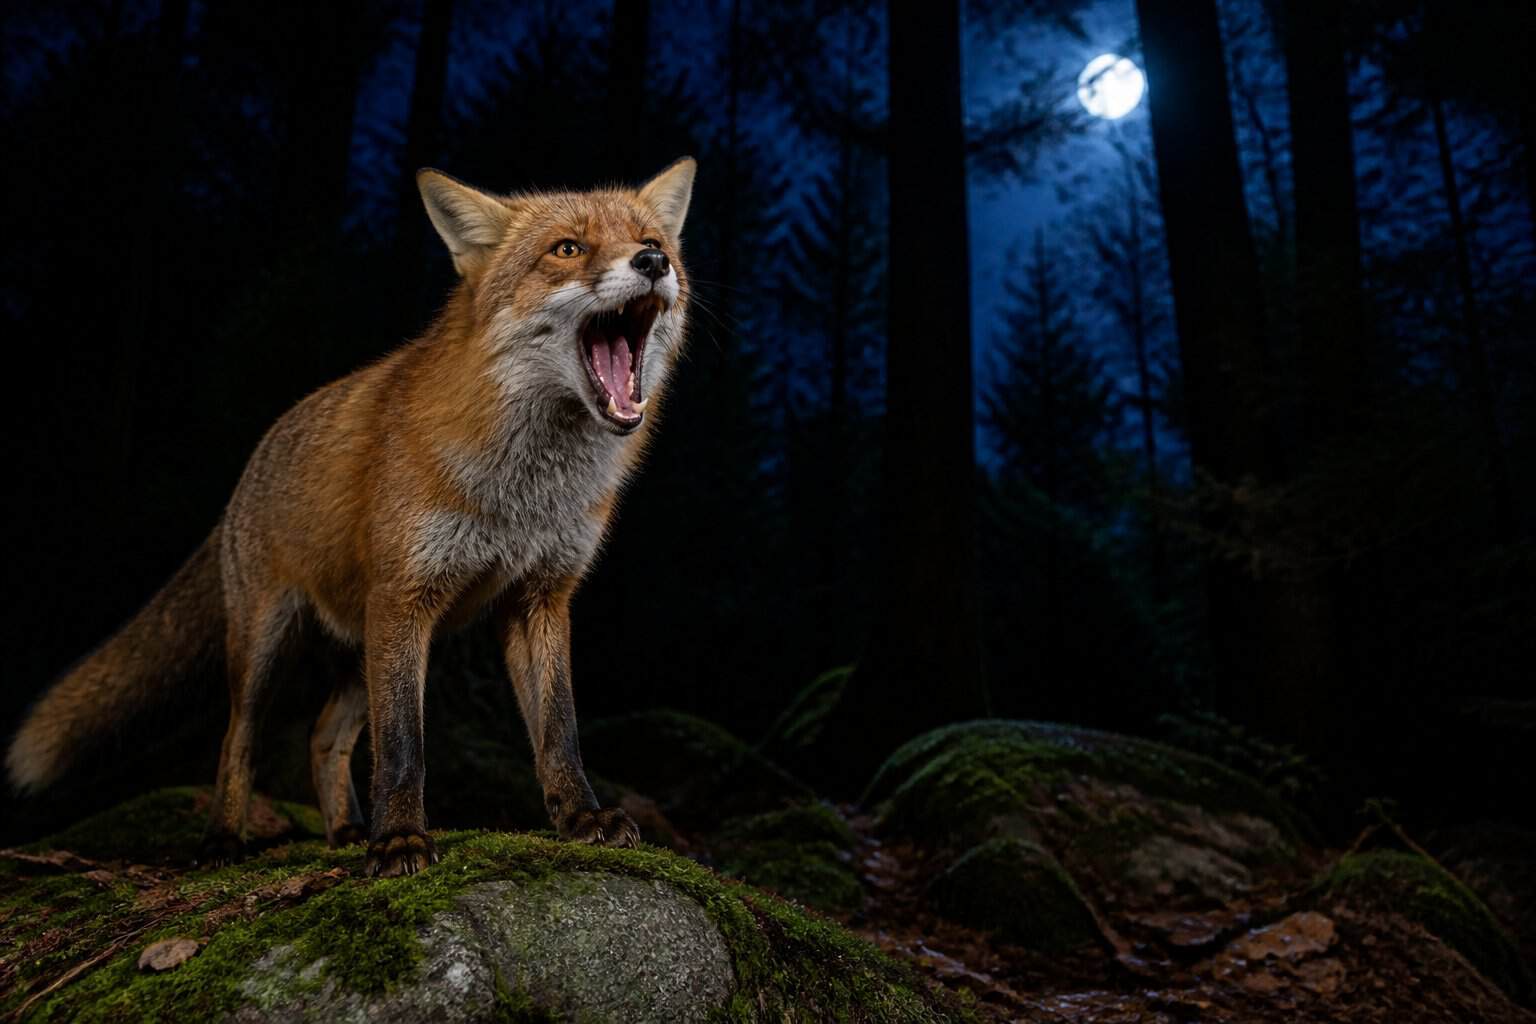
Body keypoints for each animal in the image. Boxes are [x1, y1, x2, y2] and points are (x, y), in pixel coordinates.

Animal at [6, 158, 697, 877]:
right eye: (567, 249)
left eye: (653, 240)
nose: (653, 262)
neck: (525, 494)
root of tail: (252, 463)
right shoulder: (404, 597)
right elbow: (402, 747)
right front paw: (399, 841)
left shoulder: (539, 598)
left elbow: (559, 731)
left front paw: (581, 817)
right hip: (270, 644)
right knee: (237, 740)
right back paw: (225, 840)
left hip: (366, 647)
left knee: (321, 737)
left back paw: (342, 830)